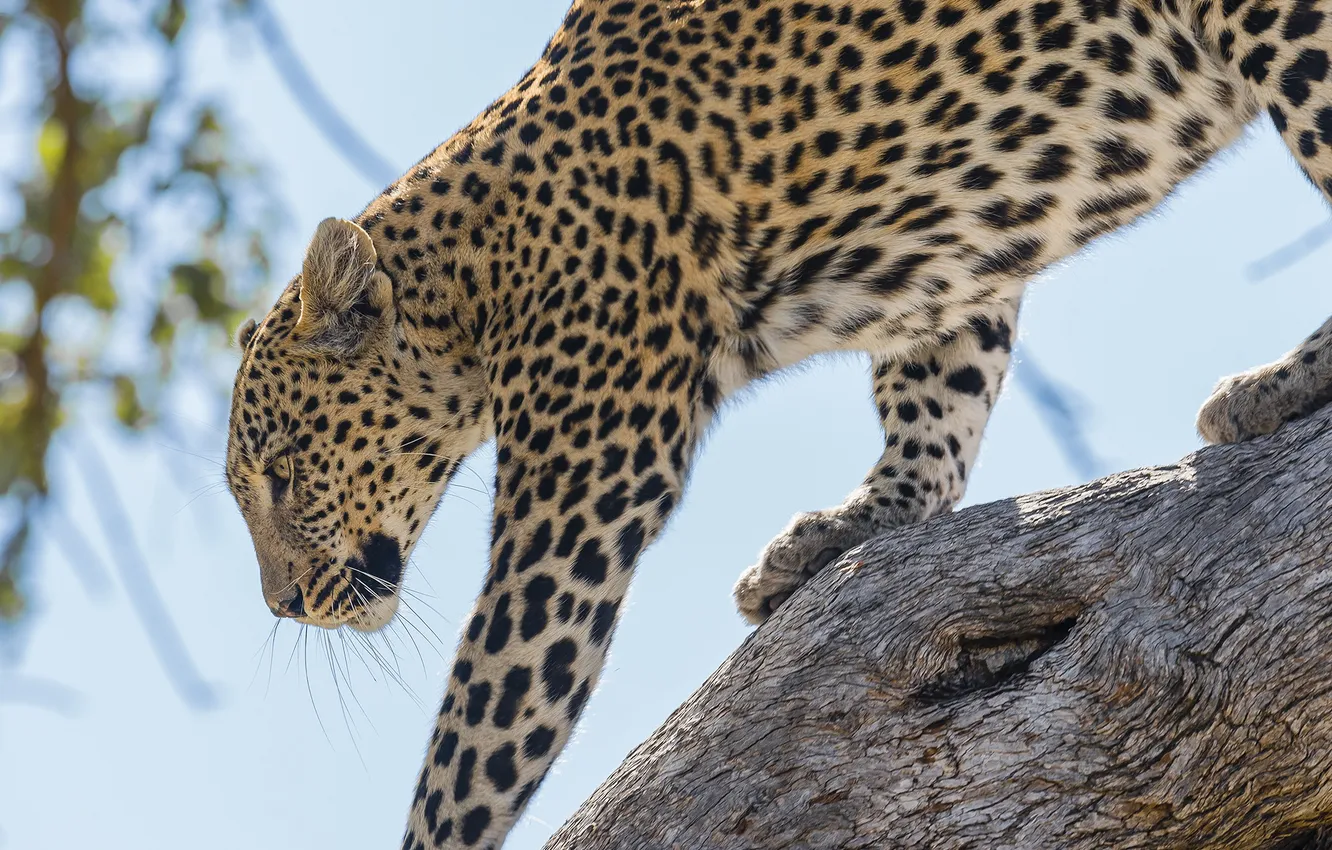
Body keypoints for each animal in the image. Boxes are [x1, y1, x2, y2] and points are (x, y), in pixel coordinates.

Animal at [224, 0, 1332, 846]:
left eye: (282, 471)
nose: (280, 605)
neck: (472, 276)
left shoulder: (582, 490)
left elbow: (482, 729)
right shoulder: (952, 269)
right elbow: (938, 398)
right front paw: (854, 525)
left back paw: (1279, 383)